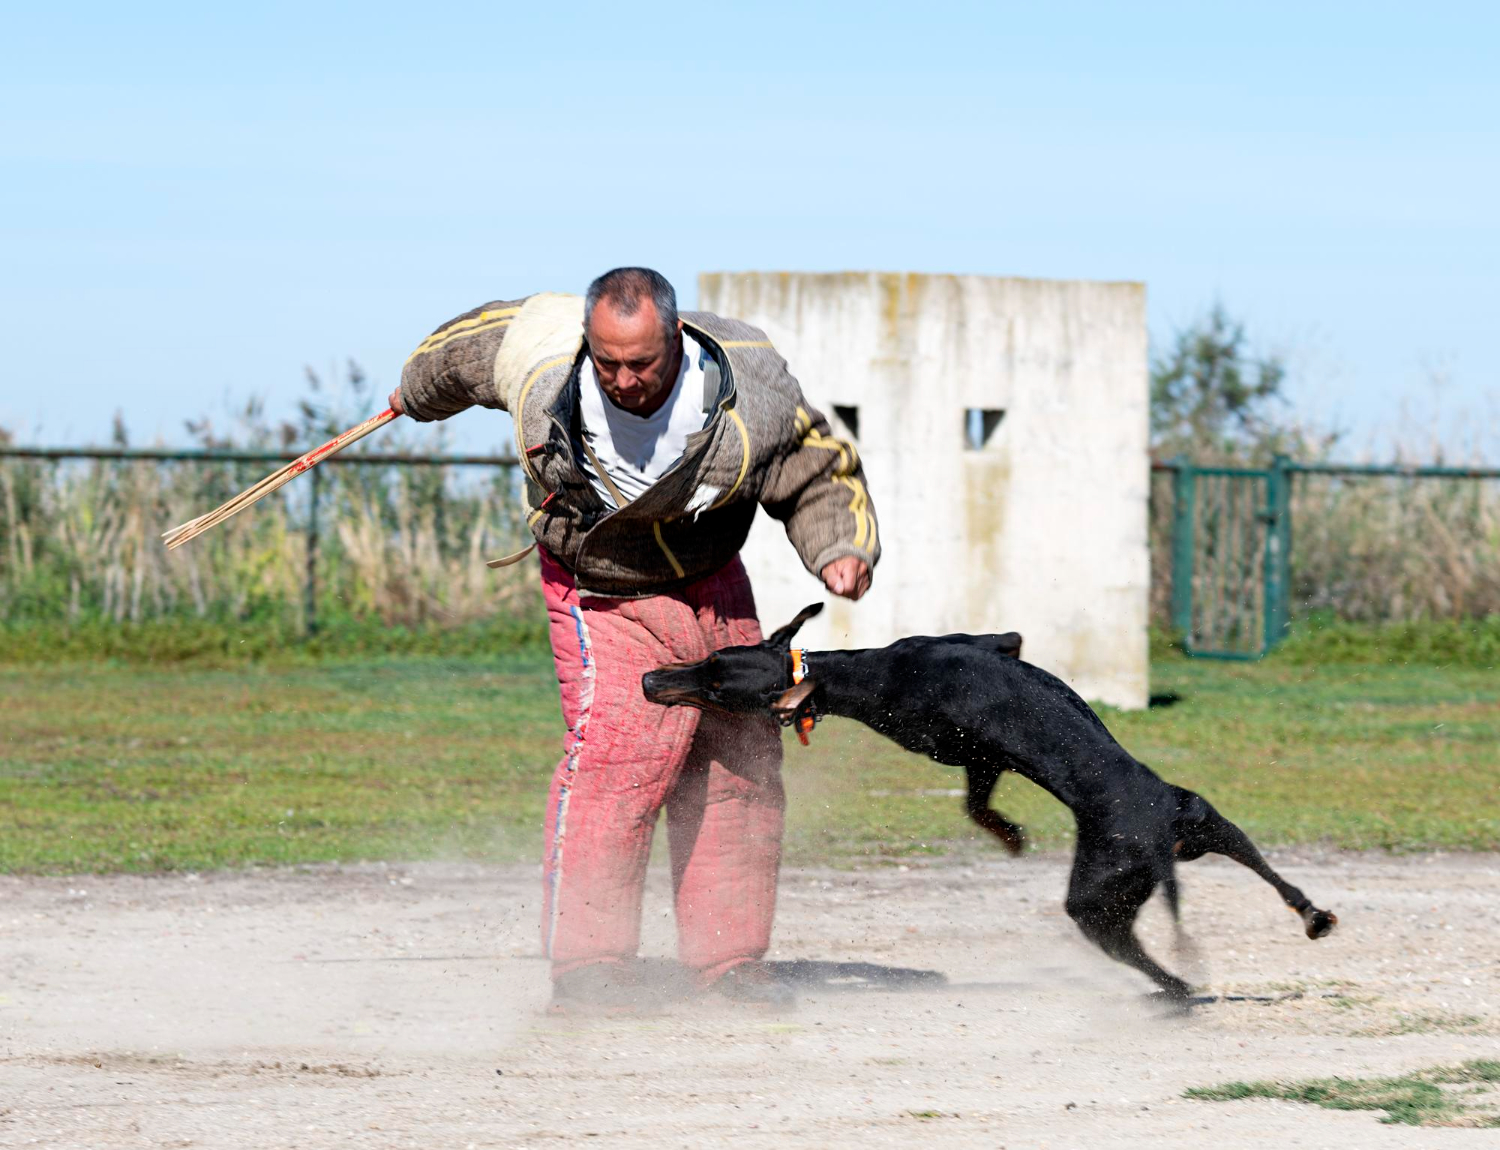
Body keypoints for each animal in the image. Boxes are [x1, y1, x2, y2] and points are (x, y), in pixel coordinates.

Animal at [642, 605, 1338, 1001]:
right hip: (1204, 819)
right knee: (1270, 873)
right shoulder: (995, 682)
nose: (651, 679)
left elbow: (973, 807)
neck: (862, 671)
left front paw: (1010, 836)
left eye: (715, 683)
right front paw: (1009, 833)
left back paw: (1176, 988)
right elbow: (978, 798)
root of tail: (1154, 828)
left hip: (1094, 899)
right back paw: (1312, 915)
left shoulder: (957, 747)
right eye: (709, 655)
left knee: (1134, 949)